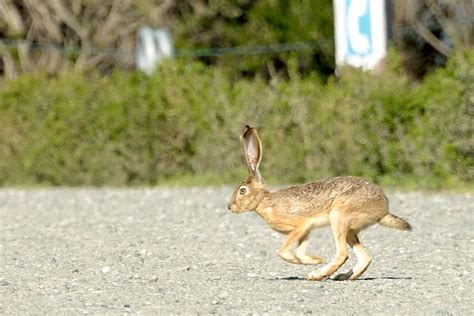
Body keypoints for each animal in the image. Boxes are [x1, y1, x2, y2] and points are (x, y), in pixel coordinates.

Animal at [227, 124, 412, 280]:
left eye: (242, 190)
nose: (230, 207)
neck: (265, 202)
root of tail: (383, 209)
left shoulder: (300, 226)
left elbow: (283, 251)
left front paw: (313, 261)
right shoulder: (306, 231)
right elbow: (300, 250)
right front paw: (312, 259)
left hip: (339, 217)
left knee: (343, 254)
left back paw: (317, 275)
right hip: (350, 230)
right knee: (365, 257)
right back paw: (343, 276)